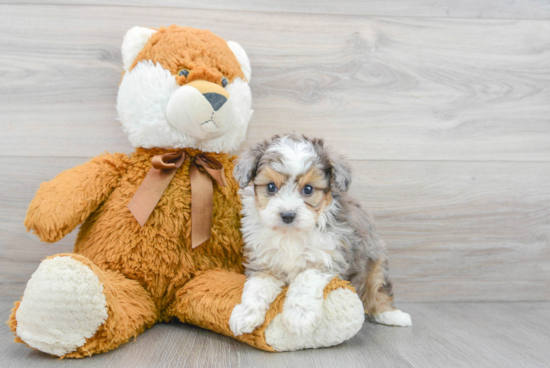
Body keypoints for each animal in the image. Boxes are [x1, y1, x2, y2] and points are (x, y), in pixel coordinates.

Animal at [230, 133, 414, 336]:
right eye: (271, 187)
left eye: (308, 189)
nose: (287, 215)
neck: (291, 234)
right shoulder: (264, 262)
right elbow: (256, 288)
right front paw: (245, 314)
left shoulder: (327, 258)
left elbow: (305, 281)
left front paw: (299, 315)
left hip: (375, 261)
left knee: (378, 289)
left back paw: (392, 315)